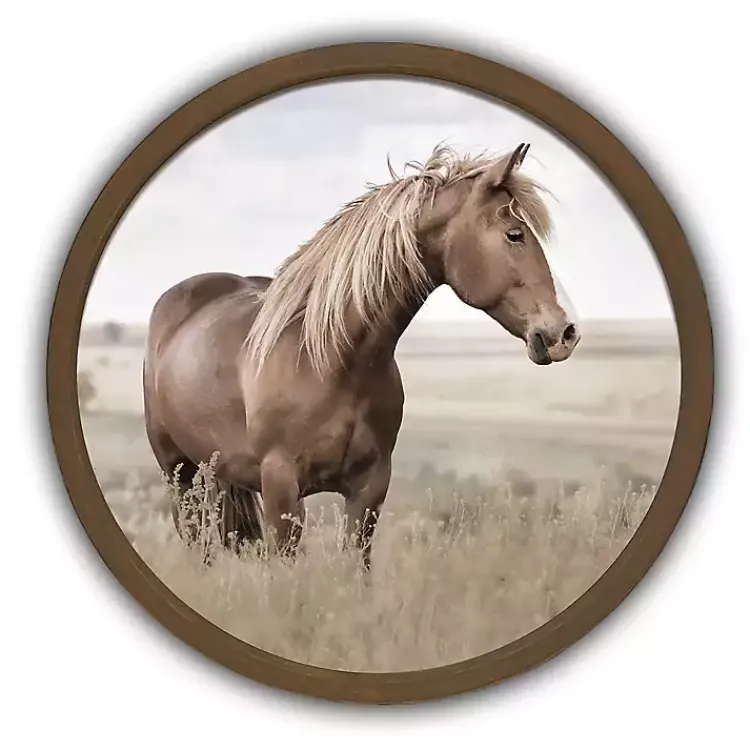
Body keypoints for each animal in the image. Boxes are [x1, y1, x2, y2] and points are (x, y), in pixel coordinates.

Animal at [143, 142, 581, 568]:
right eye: (514, 234)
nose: (565, 332)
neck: (330, 361)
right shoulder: (281, 489)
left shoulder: (369, 490)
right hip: (179, 474)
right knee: (196, 543)